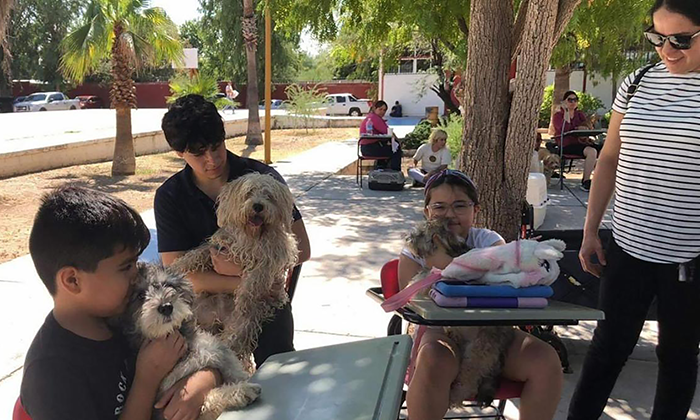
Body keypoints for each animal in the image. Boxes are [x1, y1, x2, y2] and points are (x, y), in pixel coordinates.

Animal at [119, 264, 262, 418]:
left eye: (168, 285)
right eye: (140, 296)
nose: (166, 307)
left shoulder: (219, 354)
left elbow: (235, 371)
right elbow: (207, 399)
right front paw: (242, 391)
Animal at [173, 173, 300, 370]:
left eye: (269, 196)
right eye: (248, 193)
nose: (258, 206)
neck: (251, 237)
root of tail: (218, 318)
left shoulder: (269, 260)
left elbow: (253, 279)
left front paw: (245, 297)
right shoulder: (220, 246)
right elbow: (198, 253)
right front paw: (180, 265)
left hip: (244, 323)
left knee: (234, 341)